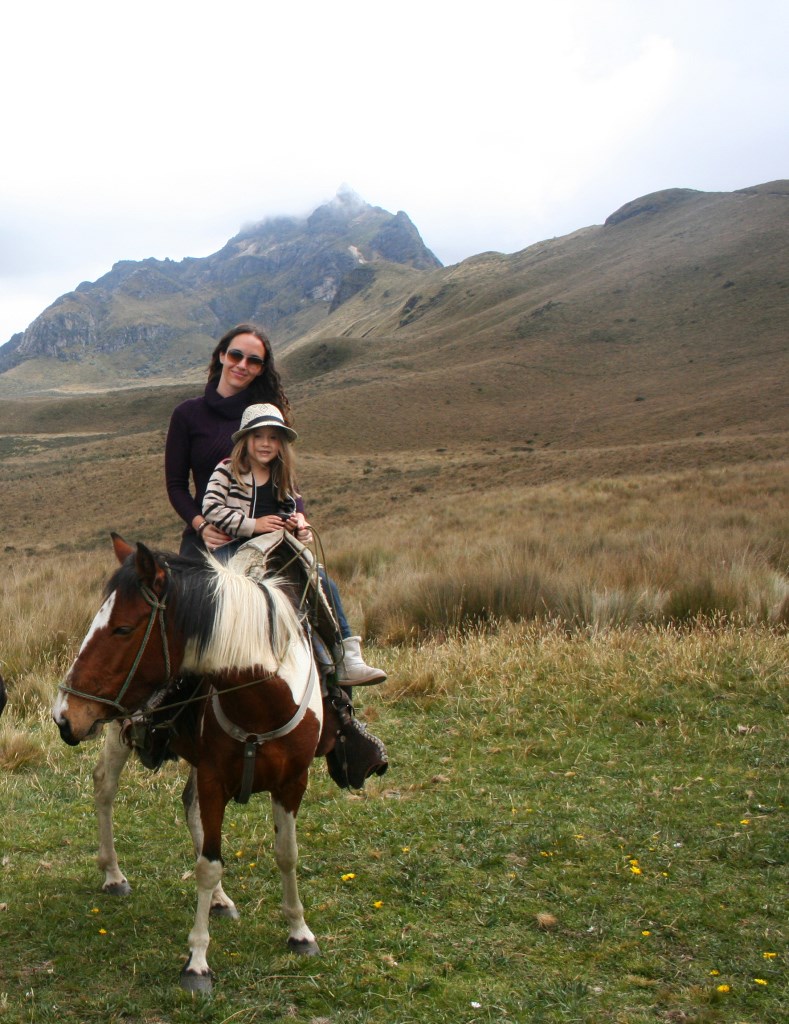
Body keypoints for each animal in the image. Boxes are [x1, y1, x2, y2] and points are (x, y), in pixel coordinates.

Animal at [50, 536, 331, 991]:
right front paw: (197, 961)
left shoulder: (293, 782)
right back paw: (113, 875)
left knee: (189, 806)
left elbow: (286, 854)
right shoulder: (216, 780)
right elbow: (207, 866)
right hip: (118, 726)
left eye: (123, 628)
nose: (63, 715)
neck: (264, 701)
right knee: (104, 787)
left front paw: (299, 931)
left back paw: (220, 901)